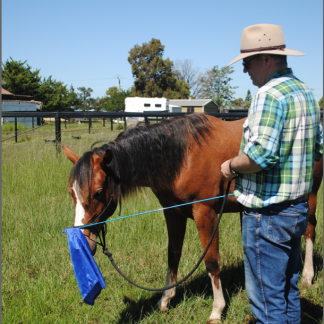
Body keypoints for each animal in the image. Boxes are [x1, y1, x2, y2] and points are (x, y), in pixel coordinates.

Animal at [62, 114, 322, 324]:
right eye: (71, 193)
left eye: (97, 192)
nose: (84, 242)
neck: (181, 157)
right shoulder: (172, 212)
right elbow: (172, 255)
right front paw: (165, 300)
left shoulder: (205, 213)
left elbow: (212, 261)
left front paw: (217, 310)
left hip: (308, 197)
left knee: (309, 231)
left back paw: (307, 277)